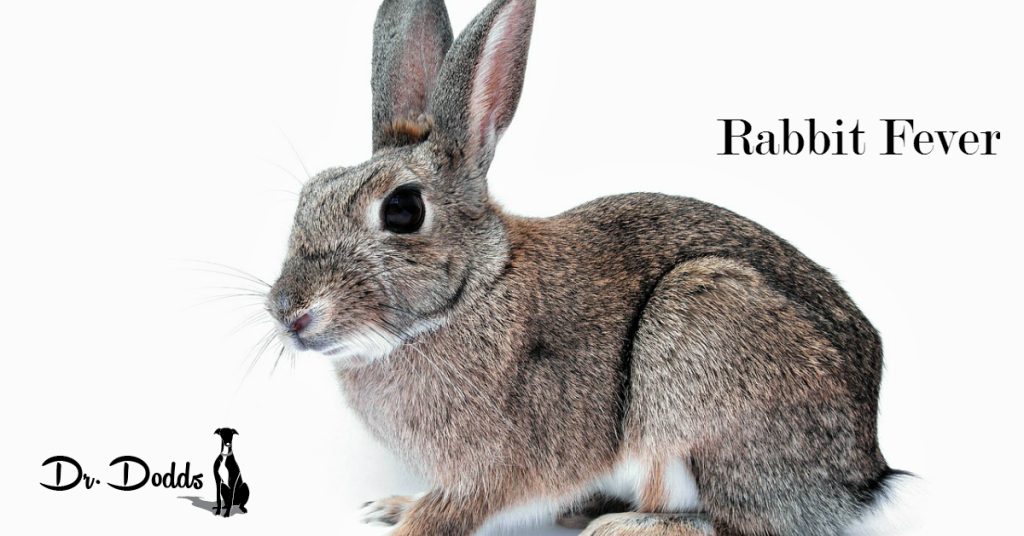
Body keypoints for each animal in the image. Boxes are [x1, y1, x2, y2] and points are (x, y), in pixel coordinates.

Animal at [265, 0, 912, 534]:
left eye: (402, 210)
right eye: (311, 195)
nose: (289, 314)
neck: (473, 292)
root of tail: (864, 472)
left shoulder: (489, 472)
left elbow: (451, 512)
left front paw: (405, 521)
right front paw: (390, 507)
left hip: (700, 341)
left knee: (737, 522)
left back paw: (620, 526)